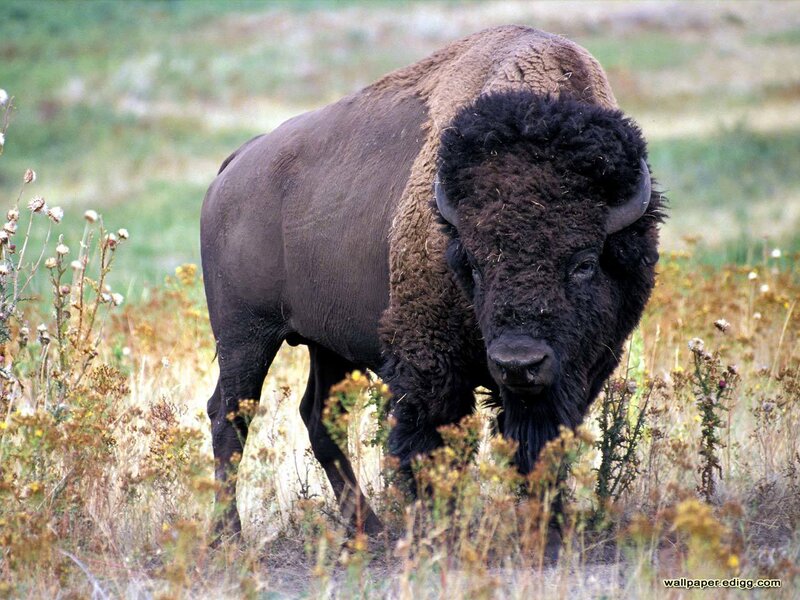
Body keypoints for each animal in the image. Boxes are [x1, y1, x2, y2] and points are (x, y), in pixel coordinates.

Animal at [201, 25, 664, 536]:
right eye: (475, 264)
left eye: (584, 262)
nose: (518, 362)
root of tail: (236, 164)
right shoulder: (430, 364)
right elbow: (430, 446)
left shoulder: (578, 371)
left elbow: (541, 445)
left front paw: (549, 526)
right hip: (245, 335)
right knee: (230, 416)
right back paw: (229, 534)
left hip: (326, 343)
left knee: (317, 416)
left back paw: (368, 528)